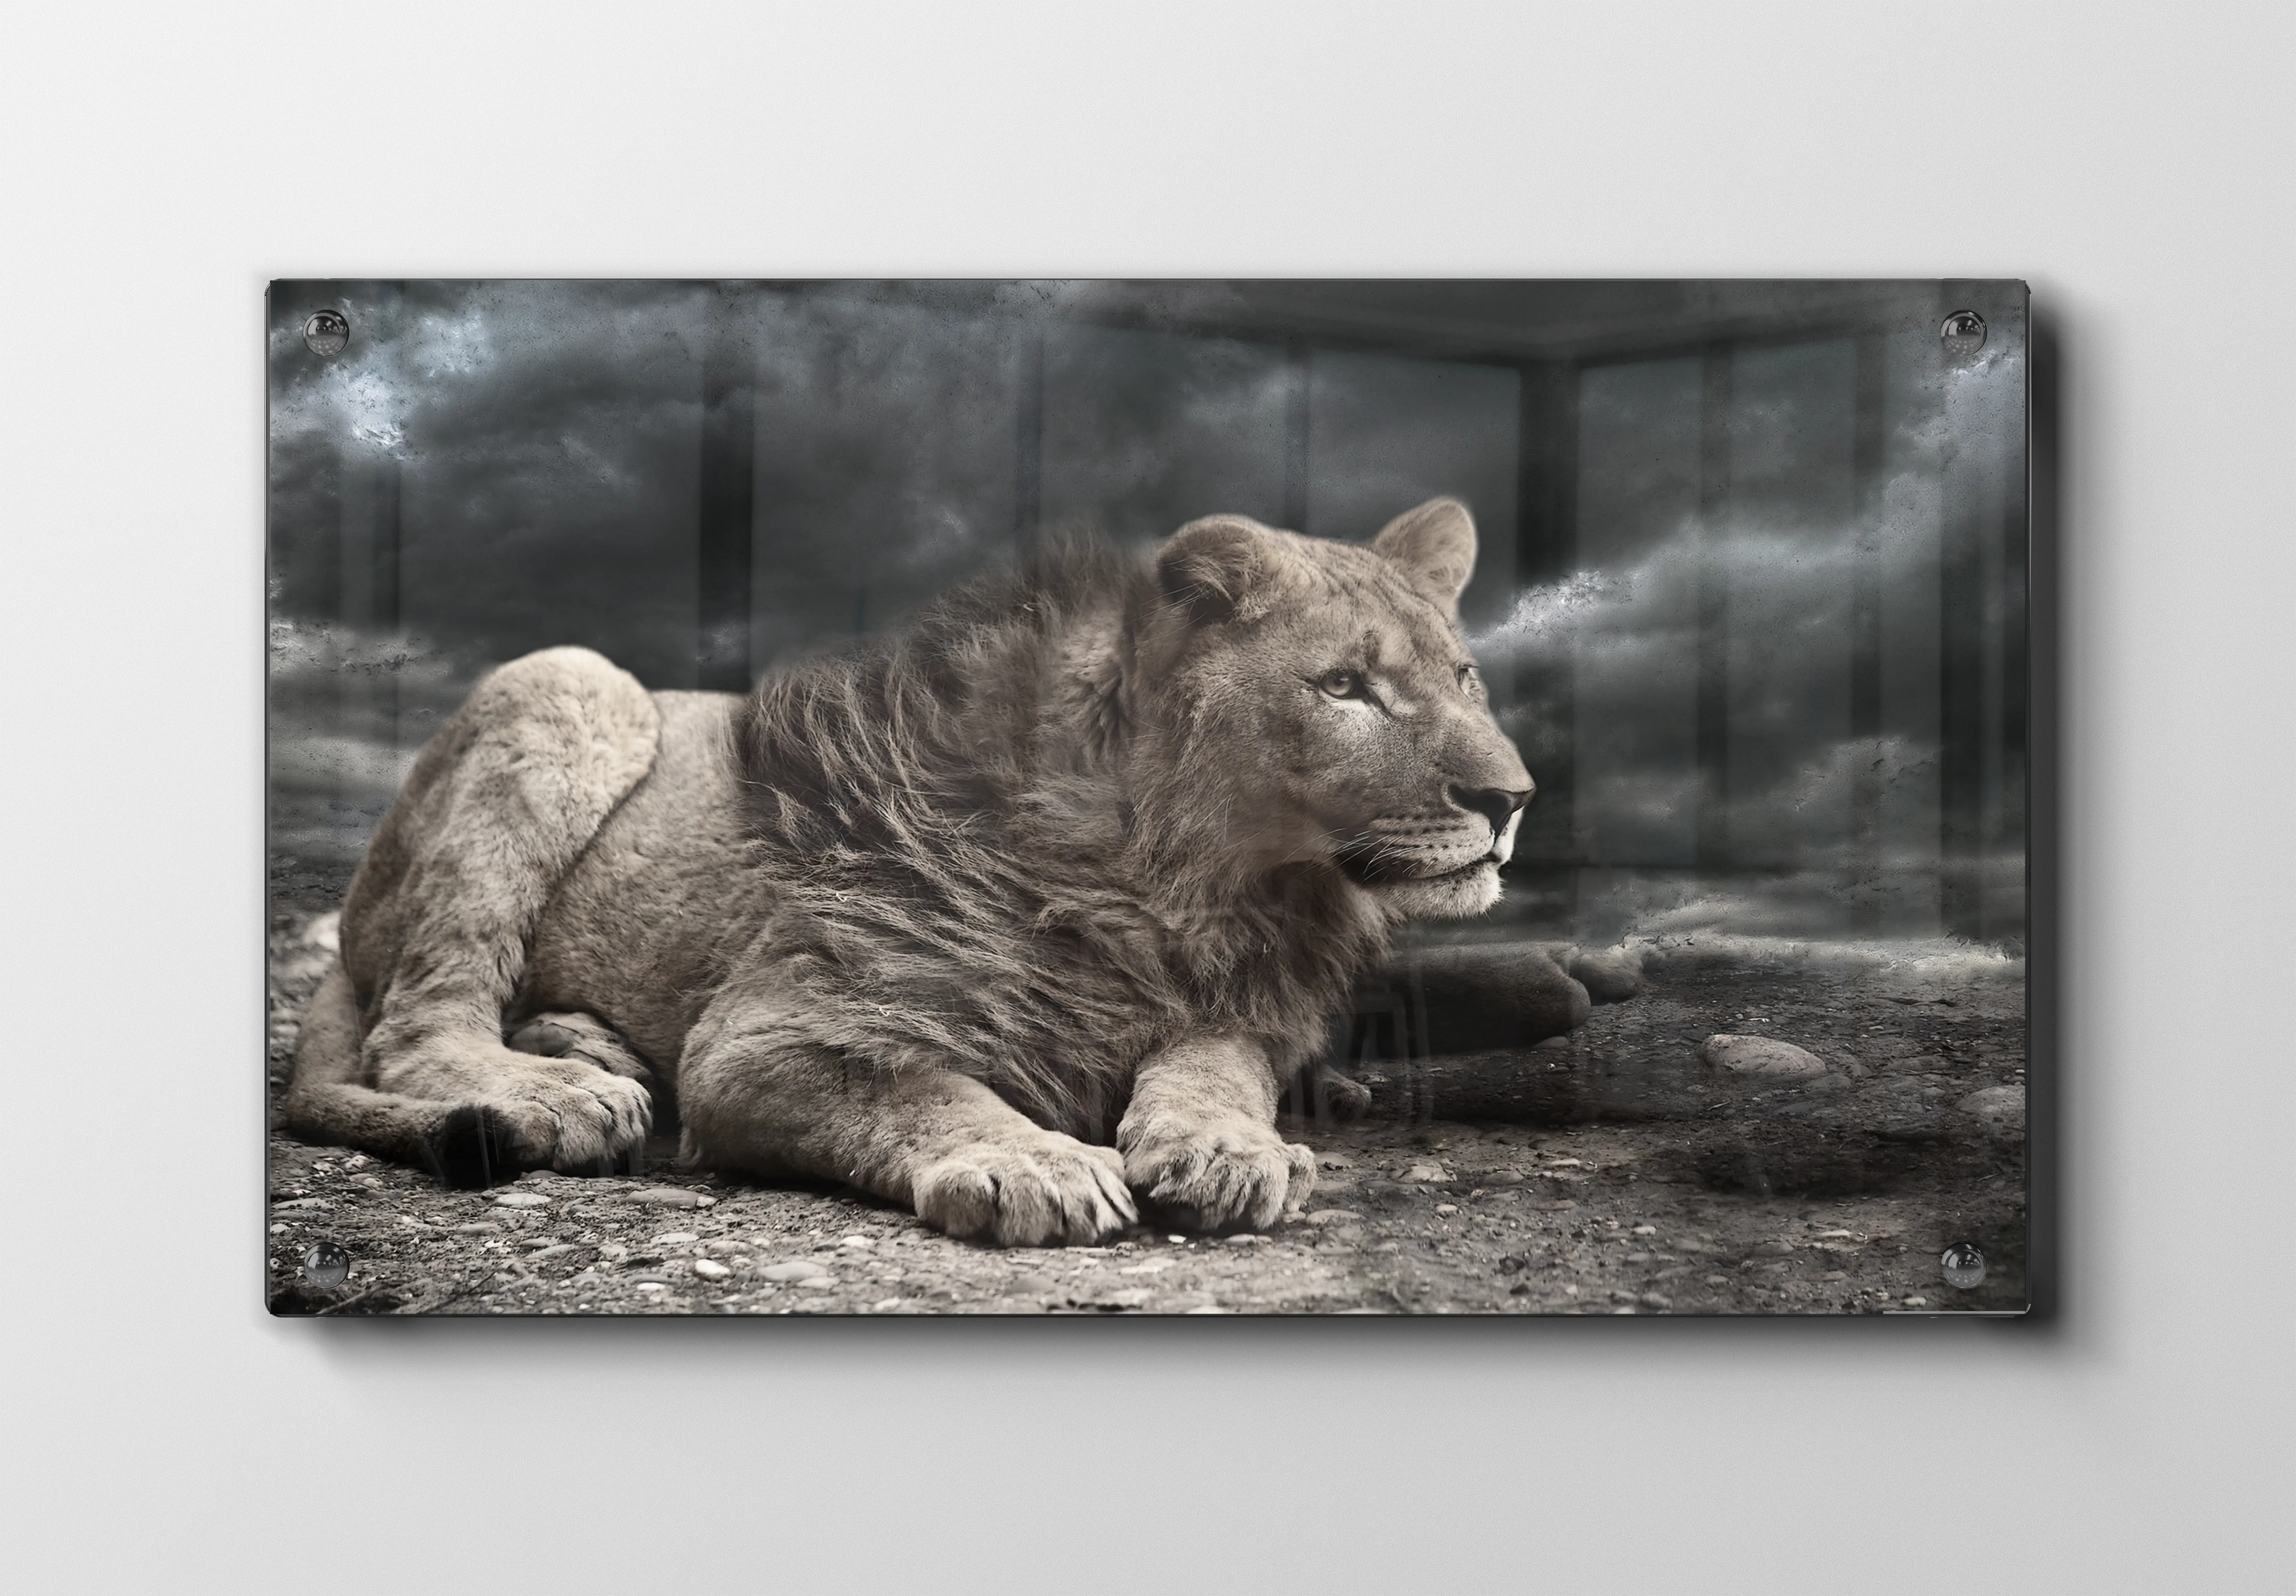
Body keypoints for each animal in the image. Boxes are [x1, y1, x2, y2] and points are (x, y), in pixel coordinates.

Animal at [286, 497, 1584, 1245]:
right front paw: (1031, 1162)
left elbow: (1219, 1066)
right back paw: (557, 1089)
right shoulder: (763, 1037)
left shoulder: (1229, 999)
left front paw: (1228, 1145)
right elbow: (923, 1088)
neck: (1187, 884)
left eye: (1463, 678)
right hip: (569, 682)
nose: (1511, 802)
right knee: (419, 1025)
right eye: (1345, 687)